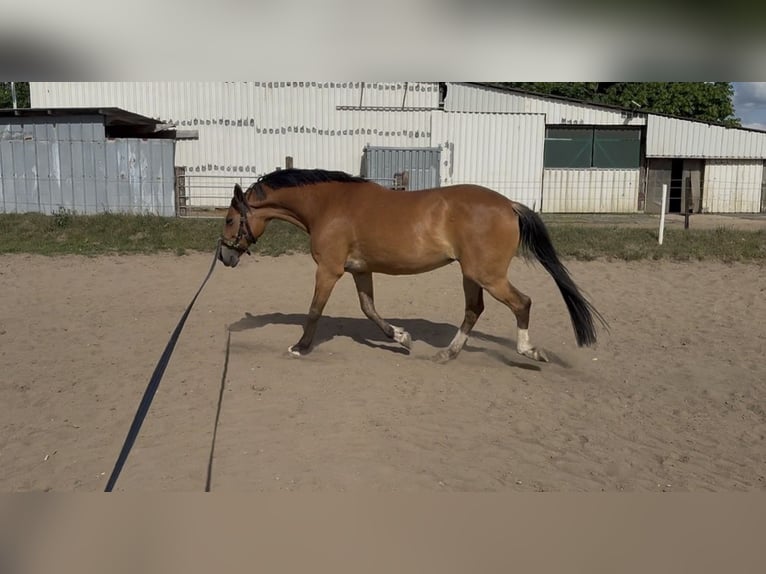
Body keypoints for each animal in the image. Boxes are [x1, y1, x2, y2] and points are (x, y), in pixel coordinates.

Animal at [218, 168, 608, 363]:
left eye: (229, 219)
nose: (225, 257)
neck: (328, 205)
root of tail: (509, 205)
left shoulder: (329, 269)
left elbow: (315, 309)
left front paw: (299, 347)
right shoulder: (360, 269)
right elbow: (369, 309)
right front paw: (402, 339)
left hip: (487, 274)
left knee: (521, 303)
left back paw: (528, 350)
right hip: (470, 274)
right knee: (474, 309)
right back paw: (447, 353)